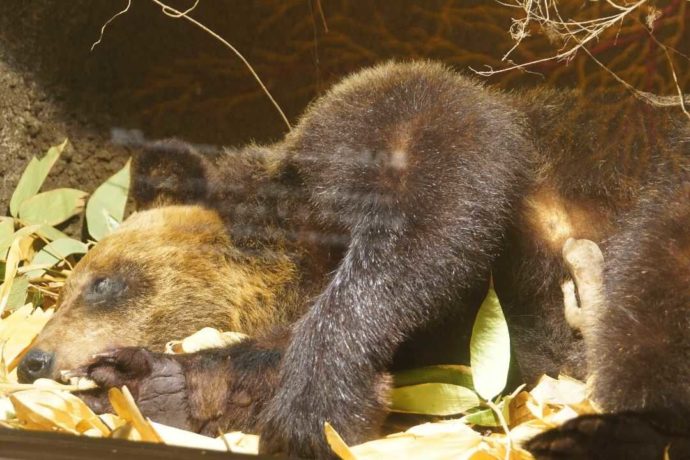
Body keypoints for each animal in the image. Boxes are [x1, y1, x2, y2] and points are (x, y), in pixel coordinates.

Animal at [16, 62, 688, 460]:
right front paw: (158, 385)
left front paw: (320, 397)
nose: (31, 360)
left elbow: (444, 149)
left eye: (102, 283)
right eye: (68, 287)